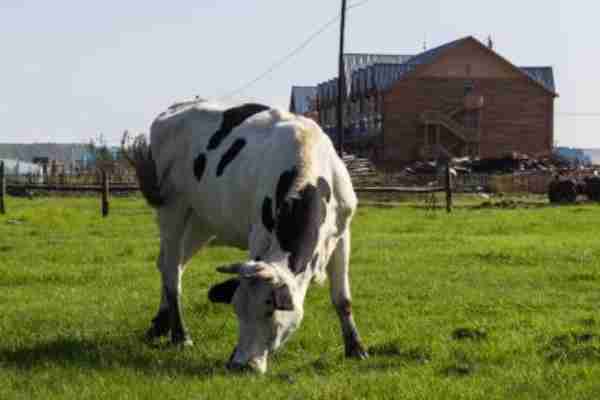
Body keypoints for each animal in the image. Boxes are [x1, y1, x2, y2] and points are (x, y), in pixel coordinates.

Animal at [126, 99, 366, 372]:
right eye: (237, 311)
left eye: (269, 309)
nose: (241, 365)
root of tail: (175, 108)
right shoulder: (260, 235)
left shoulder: (342, 234)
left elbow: (342, 299)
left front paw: (355, 348)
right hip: (172, 208)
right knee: (170, 271)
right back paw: (180, 335)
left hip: (201, 222)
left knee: (172, 263)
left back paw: (159, 326)